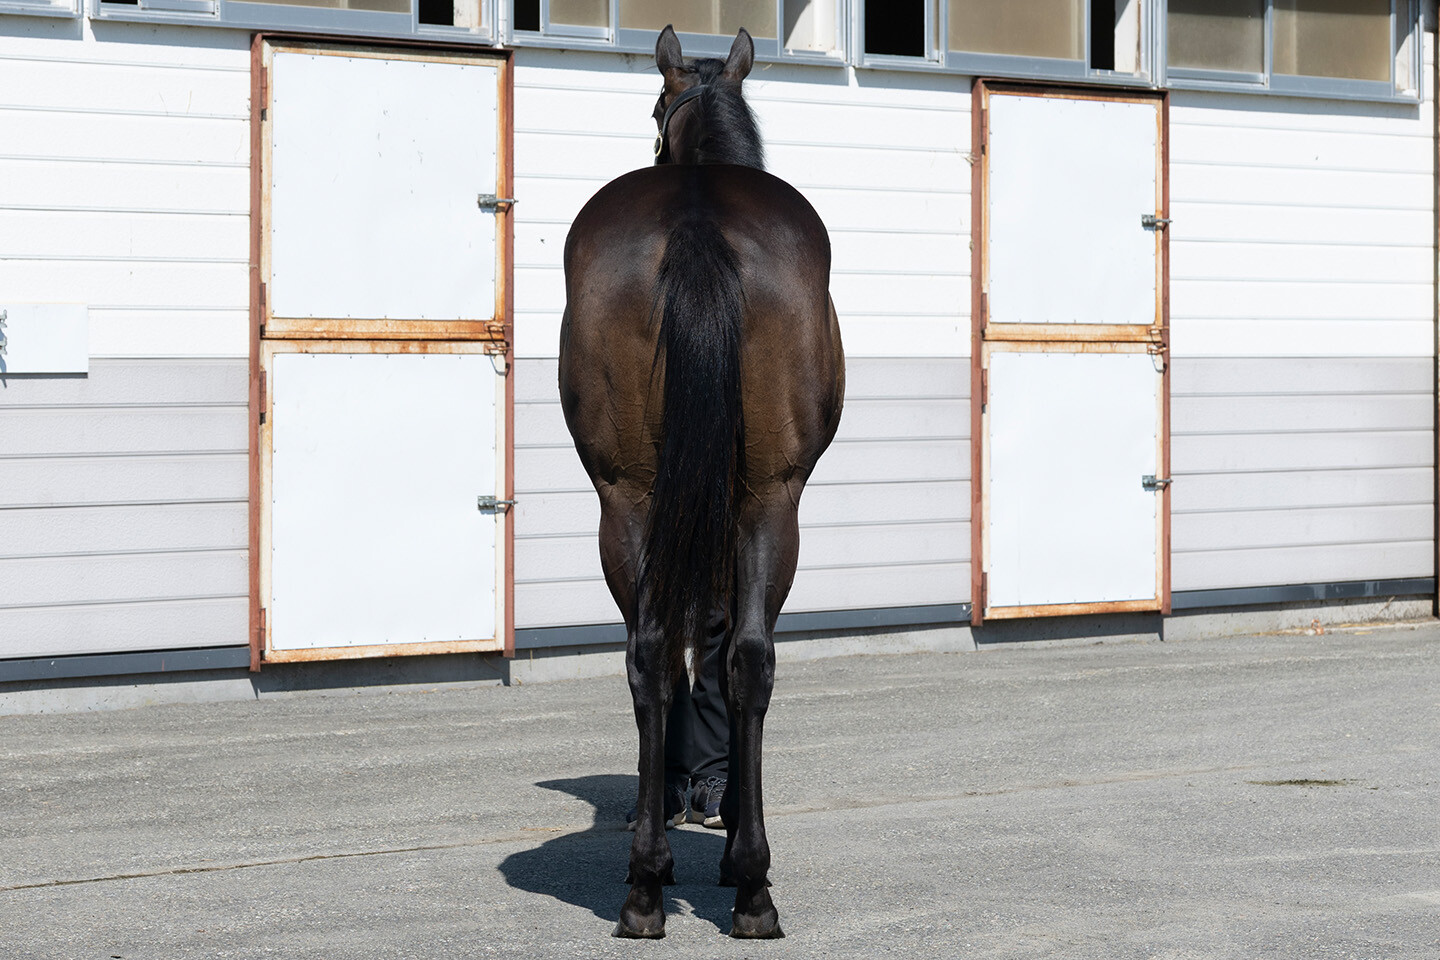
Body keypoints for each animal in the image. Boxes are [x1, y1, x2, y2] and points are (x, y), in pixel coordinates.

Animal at [558, 25, 845, 939]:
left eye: (656, 108)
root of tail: (695, 220)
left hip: (635, 497)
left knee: (662, 653)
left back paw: (660, 882)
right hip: (763, 500)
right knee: (732, 655)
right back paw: (733, 880)